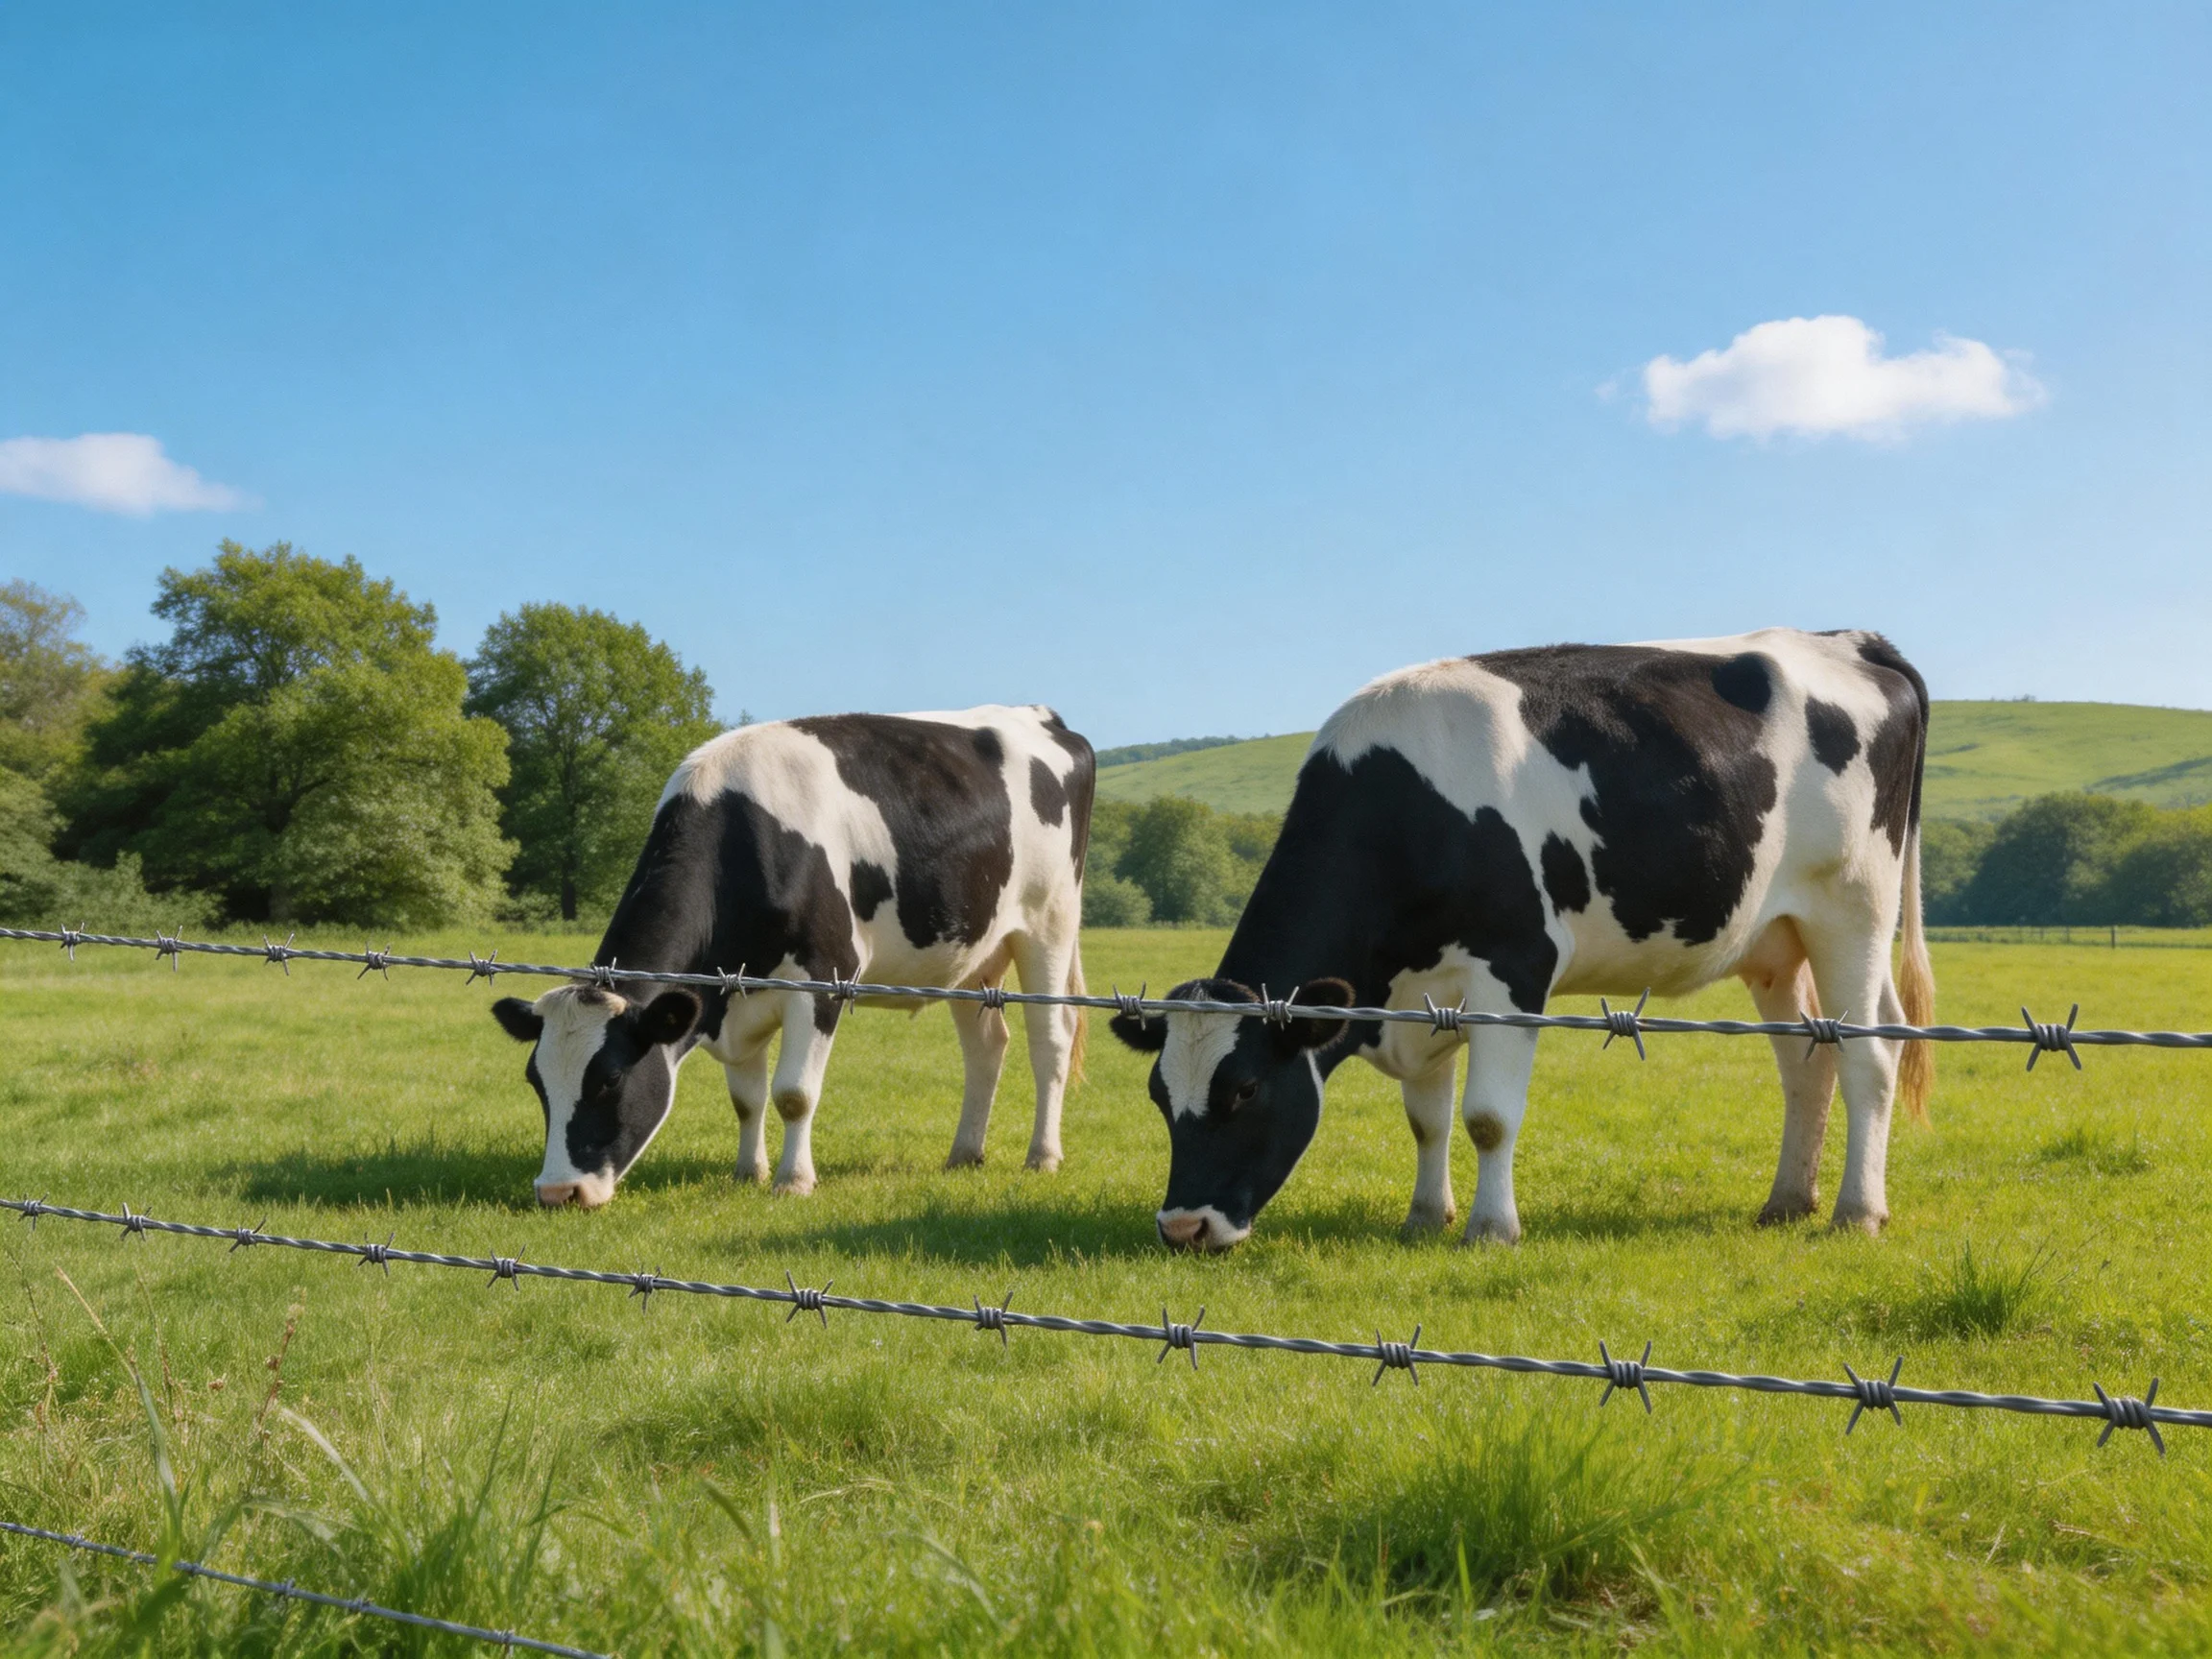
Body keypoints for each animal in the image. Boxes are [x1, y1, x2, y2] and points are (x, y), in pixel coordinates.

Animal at [491, 706, 1094, 1207]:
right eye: (535, 1081)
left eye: (611, 1079)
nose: (558, 1192)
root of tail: (1040, 715)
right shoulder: (734, 995)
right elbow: (747, 1099)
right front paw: (748, 1172)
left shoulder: (824, 977)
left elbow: (793, 1095)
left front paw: (792, 1181)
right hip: (973, 953)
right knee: (985, 1047)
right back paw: (964, 1154)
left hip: (1049, 923)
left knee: (1050, 1041)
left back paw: (1042, 1156)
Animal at [1110, 630, 1935, 1251]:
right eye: (1157, 1094)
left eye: (1245, 1089)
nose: (1183, 1227)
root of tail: (1845, 639)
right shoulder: (1420, 993)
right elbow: (1427, 1119)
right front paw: (1424, 1217)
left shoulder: (1513, 965)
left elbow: (1486, 1117)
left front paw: (1490, 1229)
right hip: (1776, 939)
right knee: (1807, 1061)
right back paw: (1787, 1200)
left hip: (1852, 909)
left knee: (1868, 1056)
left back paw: (1856, 1213)